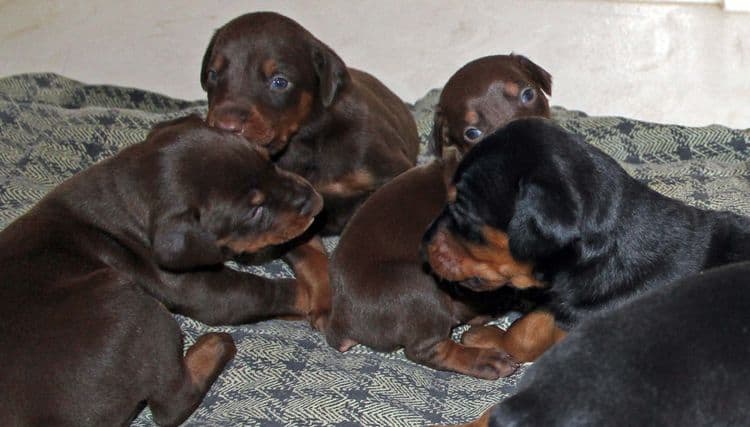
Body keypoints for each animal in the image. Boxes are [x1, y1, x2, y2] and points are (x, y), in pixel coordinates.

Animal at [0, 115, 324, 426]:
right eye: (254, 210)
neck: (124, 200)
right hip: (133, 308)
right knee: (171, 405)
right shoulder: (191, 284)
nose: (315, 199)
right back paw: (214, 346)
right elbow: (257, 291)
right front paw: (315, 295)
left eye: (267, 160)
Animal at [326, 55, 556, 380]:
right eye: (472, 133)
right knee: (426, 349)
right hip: (417, 286)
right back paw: (484, 359)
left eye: (528, 94)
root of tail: (341, 318)